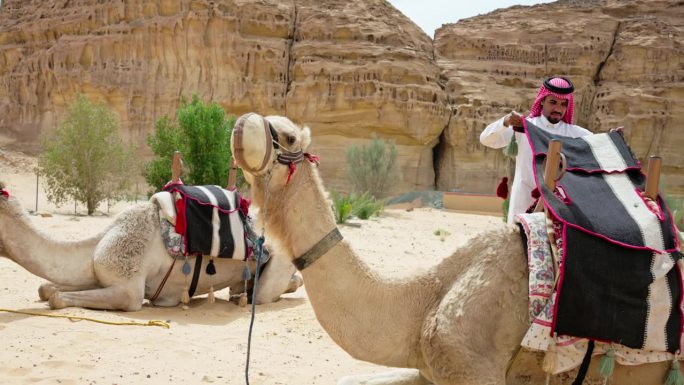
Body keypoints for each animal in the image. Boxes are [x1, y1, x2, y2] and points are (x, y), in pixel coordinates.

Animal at [0, 182, 302, 310]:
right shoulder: (100, 275)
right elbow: (47, 288)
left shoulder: (128, 290)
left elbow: (57, 298)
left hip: (279, 262)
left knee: (264, 294)